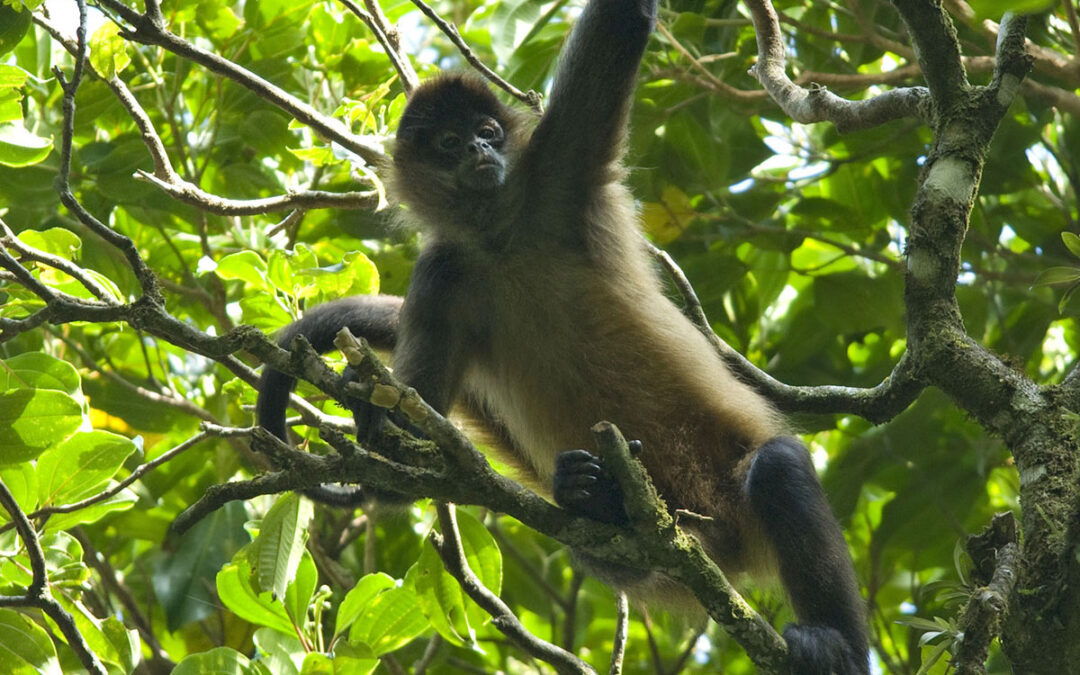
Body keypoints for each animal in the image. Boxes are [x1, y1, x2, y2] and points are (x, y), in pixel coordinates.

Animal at [254, 0, 868, 665]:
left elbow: (624, 20)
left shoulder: (557, 174)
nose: (479, 148)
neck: (499, 238)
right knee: (592, 550)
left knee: (778, 468)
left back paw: (836, 644)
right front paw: (373, 415)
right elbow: (407, 456)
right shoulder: (440, 274)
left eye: (487, 130)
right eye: (449, 143)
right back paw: (592, 500)